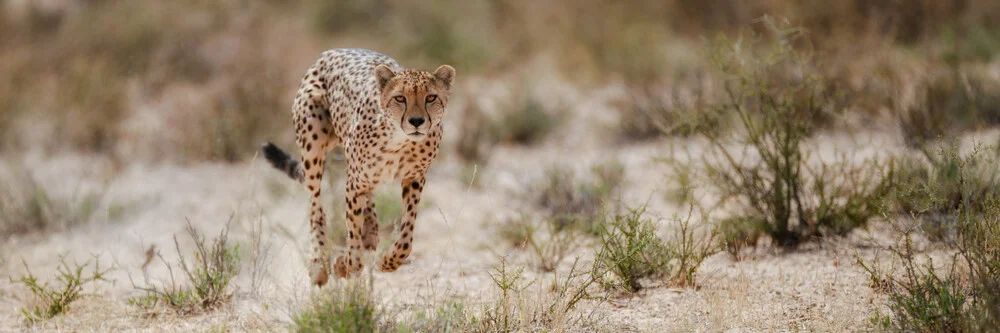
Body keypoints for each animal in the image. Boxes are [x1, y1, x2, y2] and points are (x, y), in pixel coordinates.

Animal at [262, 48, 458, 286]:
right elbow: (352, 232)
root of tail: (332, 51)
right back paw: (319, 265)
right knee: (316, 207)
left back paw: (370, 231)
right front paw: (346, 265)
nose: (417, 121)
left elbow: (406, 235)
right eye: (400, 98)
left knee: (366, 202)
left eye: (431, 98)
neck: (399, 140)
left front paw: (388, 262)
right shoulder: (355, 182)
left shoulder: (414, 177)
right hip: (313, 143)